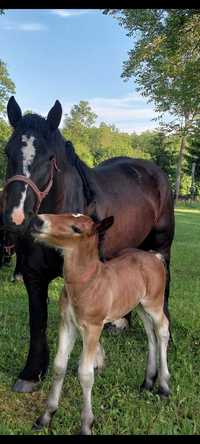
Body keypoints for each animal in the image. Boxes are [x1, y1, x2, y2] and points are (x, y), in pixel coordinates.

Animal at [32, 213, 170, 436]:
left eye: (76, 229)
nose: (37, 220)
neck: (86, 283)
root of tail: (155, 256)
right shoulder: (67, 324)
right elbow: (59, 365)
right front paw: (46, 416)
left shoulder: (93, 328)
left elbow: (85, 374)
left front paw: (86, 425)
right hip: (139, 305)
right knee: (151, 334)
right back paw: (148, 381)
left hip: (154, 303)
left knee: (162, 330)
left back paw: (164, 387)